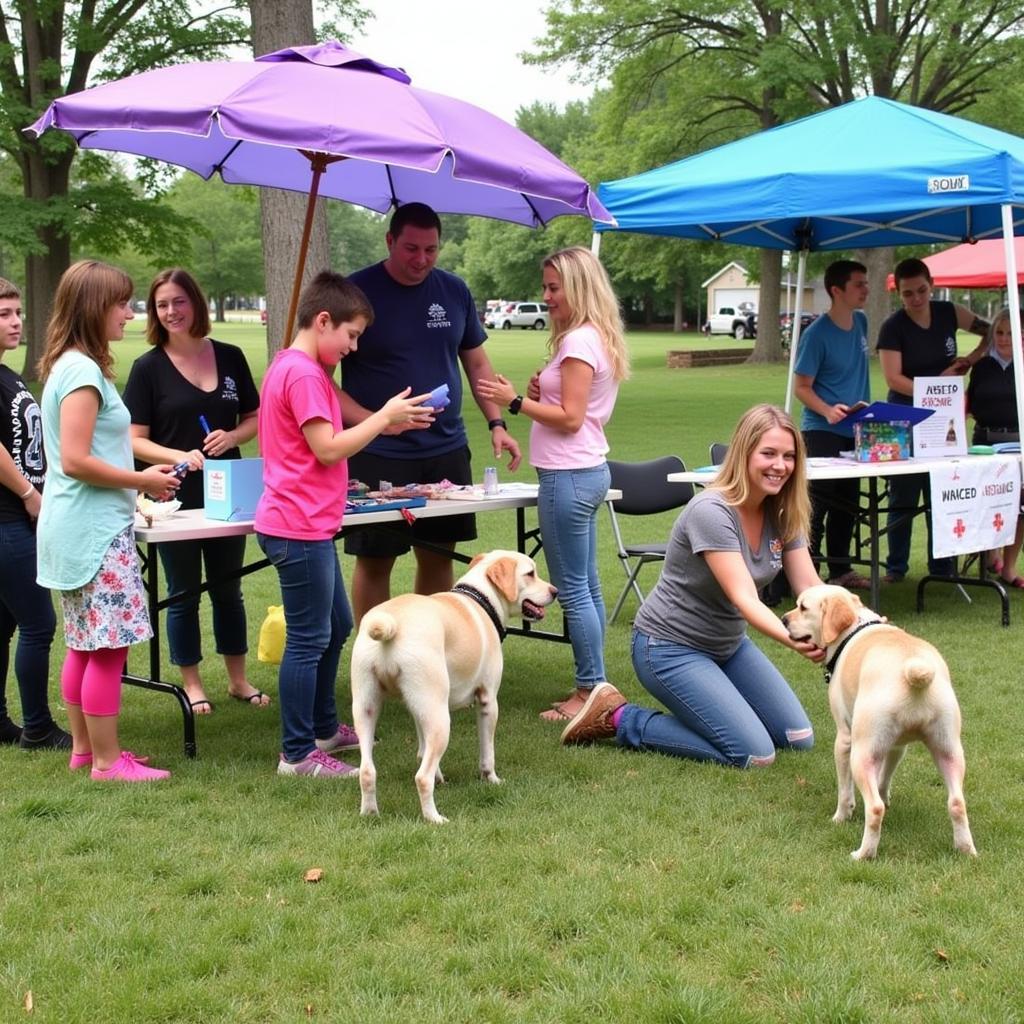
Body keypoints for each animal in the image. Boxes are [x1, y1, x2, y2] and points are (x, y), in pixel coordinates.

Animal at [352, 552, 561, 823]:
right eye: (530, 573)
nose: (555, 591)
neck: (481, 599)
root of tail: (392, 624)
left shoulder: (417, 711)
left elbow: (422, 750)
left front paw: (440, 776)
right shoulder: (488, 701)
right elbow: (487, 753)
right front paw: (491, 779)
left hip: (367, 710)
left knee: (367, 771)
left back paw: (370, 813)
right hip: (440, 718)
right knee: (421, 778)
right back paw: (434, 818)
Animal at [782, 589, 974, 860]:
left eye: (802, 607)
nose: (783, 619)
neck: (854, 627)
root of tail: (914, 672)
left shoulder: (844, 740)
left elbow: (845, 791)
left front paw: (840, 817)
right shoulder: (896, 747)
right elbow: (884, 778)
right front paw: (886, 796)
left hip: (861, 754)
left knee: (874, 809)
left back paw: (863, 854)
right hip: (949, 751)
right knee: (957, 803)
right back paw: (967, 849)